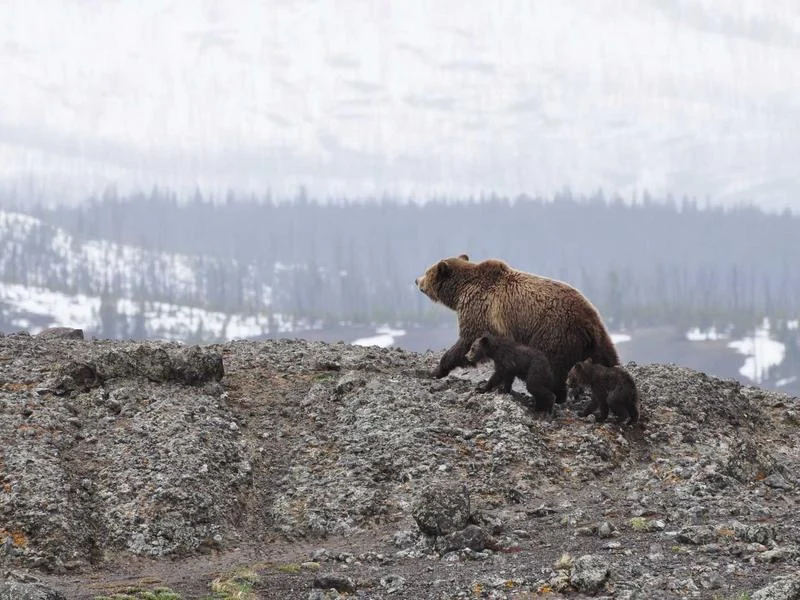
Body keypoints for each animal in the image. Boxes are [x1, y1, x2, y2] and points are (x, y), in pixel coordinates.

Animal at [414, 254, 619, 404]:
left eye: (427, 271)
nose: (416, 280)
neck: (460, 291)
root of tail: (588, 321)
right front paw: (504, 386)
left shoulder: (479, 310)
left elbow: (467, 341)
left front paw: (436, 370)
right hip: (598, 338)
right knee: (608, 359)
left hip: (554, 332)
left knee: (551, 368)